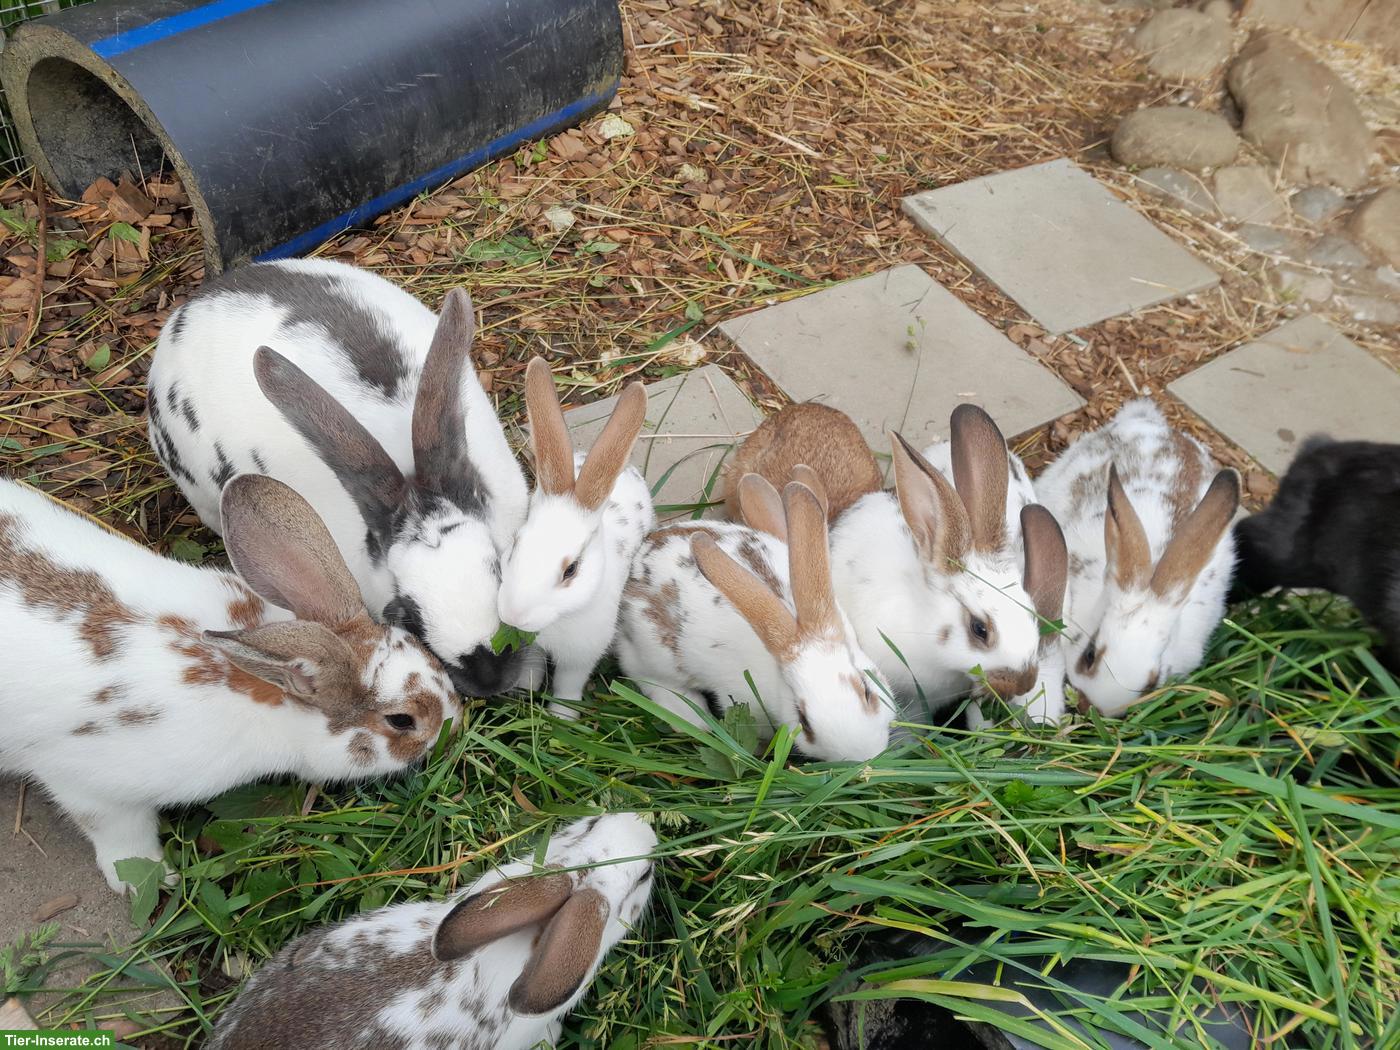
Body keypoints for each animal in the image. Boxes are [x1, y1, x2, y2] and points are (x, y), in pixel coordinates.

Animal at [496, 358, 656, 714]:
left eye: (571, 570)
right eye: (516, 546)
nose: (513, 615)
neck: (558, 622)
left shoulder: (580, 658)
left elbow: (567, 686)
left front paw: (563, 715)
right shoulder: (532, 647)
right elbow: (532, 666)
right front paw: (525, 691)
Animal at [615, 477, 894, 761]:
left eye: (867, 690)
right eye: (803, 721)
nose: (865, 756)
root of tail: (641, 554)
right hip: (653, 656)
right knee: (646, 678)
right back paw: (692, 718)